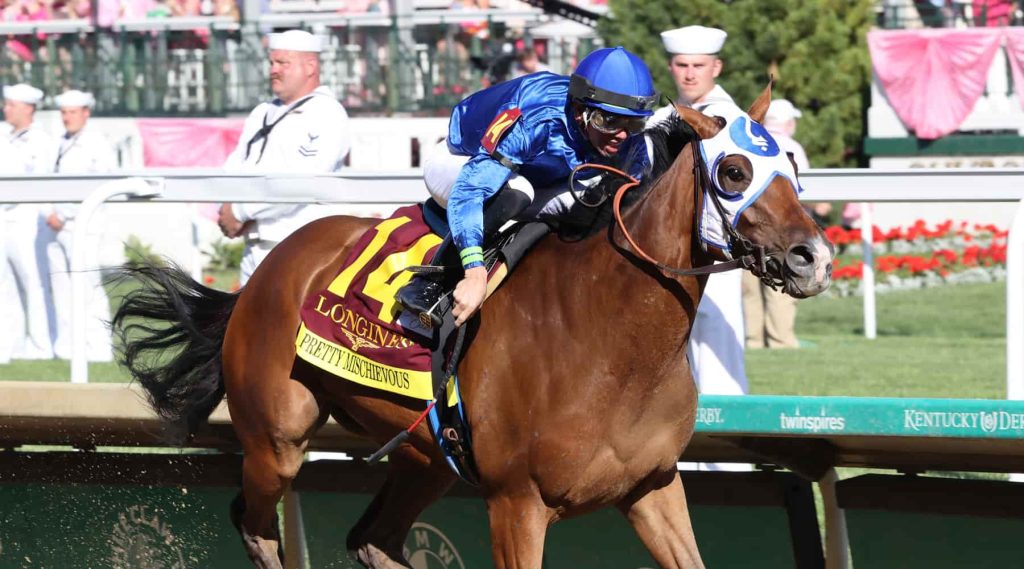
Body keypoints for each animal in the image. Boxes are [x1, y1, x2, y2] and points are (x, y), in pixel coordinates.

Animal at [112, 84, 832, 569]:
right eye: (734, 171)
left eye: (795, 167)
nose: (814, 257)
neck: (611, 339)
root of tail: (262, 275)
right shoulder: (517, 503)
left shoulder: (652, 487)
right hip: (276, 440)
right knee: (259, 525)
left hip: (424, 456)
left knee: (372, 540)